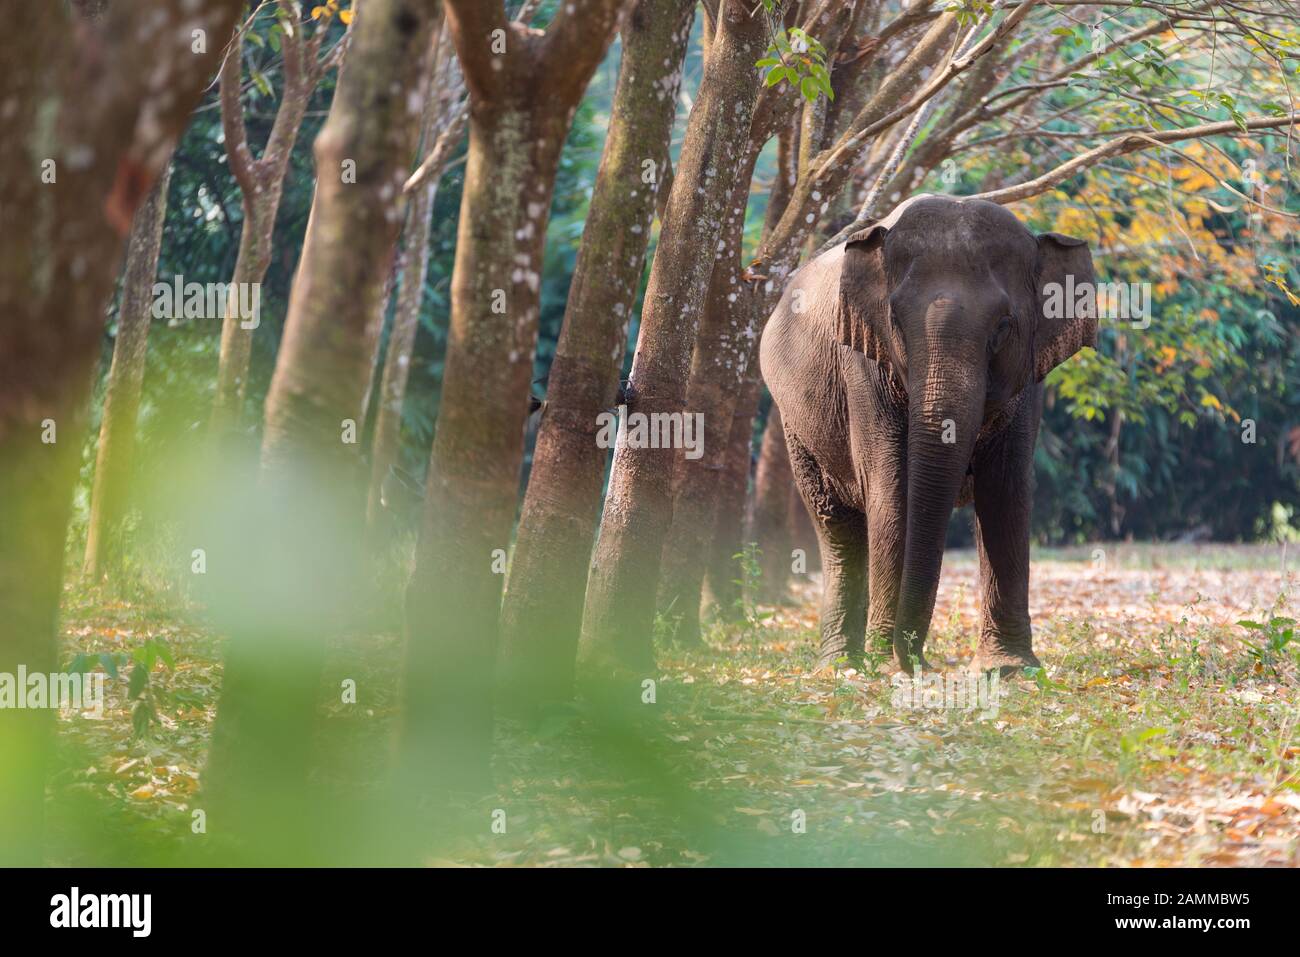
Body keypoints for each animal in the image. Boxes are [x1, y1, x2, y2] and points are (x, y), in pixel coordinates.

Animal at [759, 195, 1097, 670]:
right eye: (896, 322)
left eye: (1003, 327)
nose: (915, 661)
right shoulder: (863, 366)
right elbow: (892, 490)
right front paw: (885, 664)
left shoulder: (1028, 378)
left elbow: (1004, 491)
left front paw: (1009, 669)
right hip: (795, 424)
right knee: (836, 525)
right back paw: (843, 664)